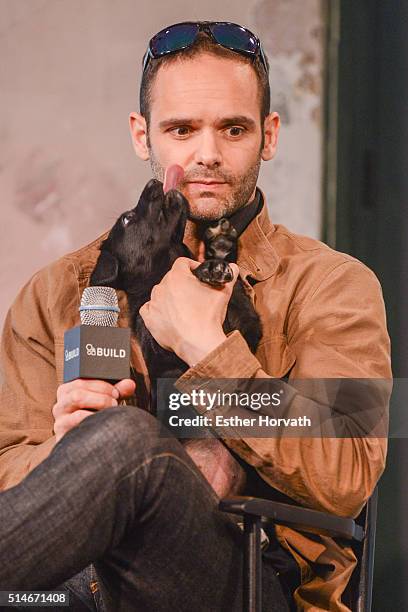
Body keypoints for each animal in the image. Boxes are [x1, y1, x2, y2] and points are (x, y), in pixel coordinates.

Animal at [90, 180, 262, 412]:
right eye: (127, 218)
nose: (153, 182)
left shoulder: (247, 322)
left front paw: (220, 247)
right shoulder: (164, 354)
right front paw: (208, 267)